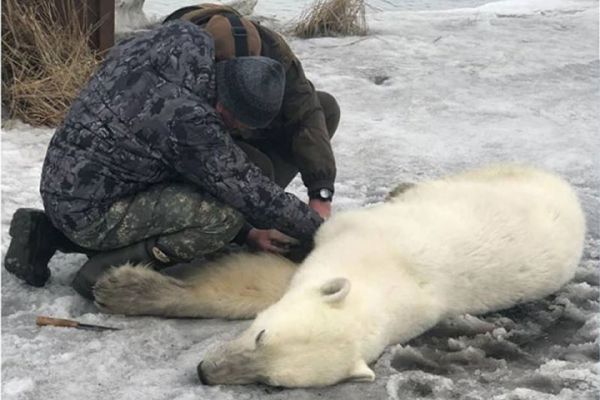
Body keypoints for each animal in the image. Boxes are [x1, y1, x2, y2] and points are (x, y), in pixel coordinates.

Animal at [94, 165, 584, 388]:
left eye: (272, 383)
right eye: (261, 335)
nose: (205, 372)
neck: (385, 274)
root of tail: (566, 188)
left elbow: (259, 284)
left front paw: (122, 287)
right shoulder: (353, 235)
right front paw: (119, 287)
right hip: (492, 180)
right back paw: (400, 188)